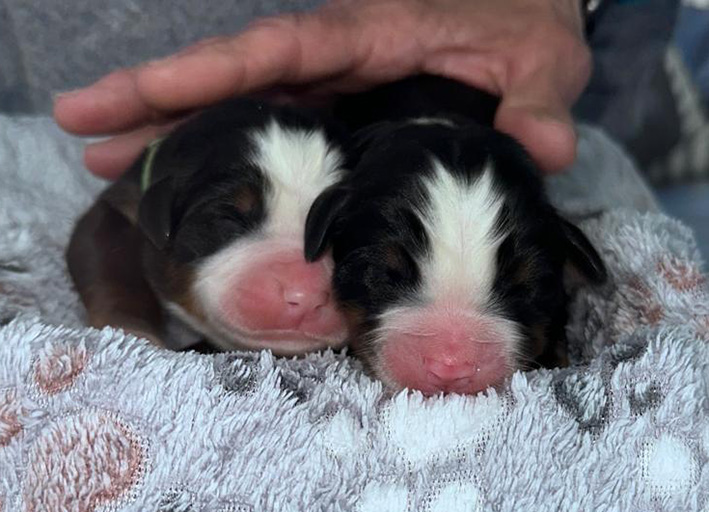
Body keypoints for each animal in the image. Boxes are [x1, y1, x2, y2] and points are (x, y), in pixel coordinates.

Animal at [67, 98, 349, 355]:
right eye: (228, 218)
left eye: (338, 233)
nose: (305, 296)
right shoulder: (123, 204)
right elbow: (109, 258)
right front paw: (133, 331)